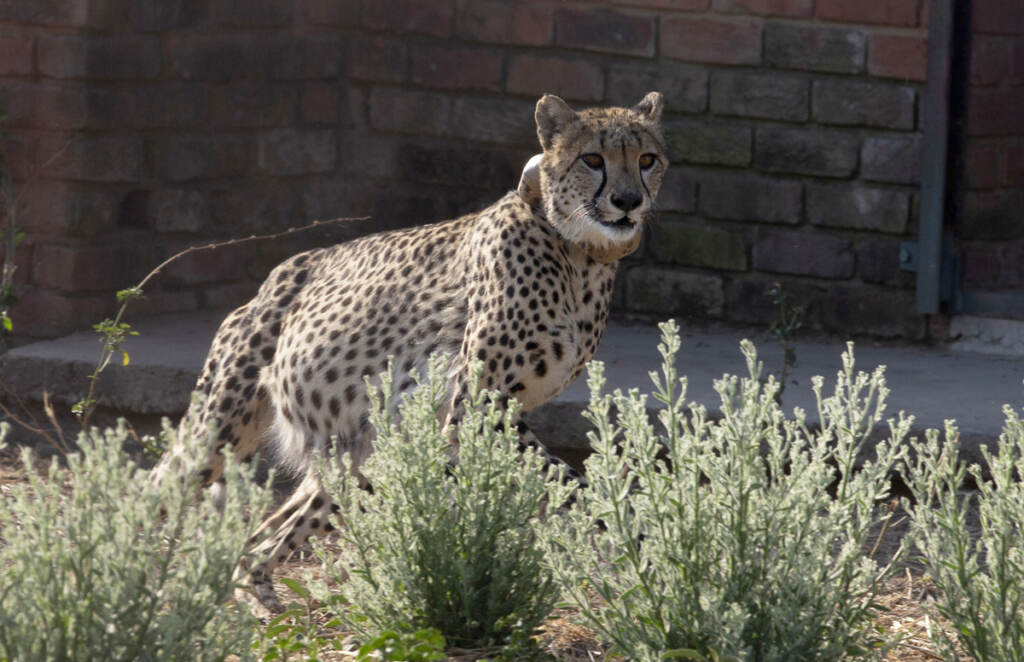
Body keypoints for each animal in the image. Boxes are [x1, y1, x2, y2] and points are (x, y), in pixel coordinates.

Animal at [153, 91, 667, 612]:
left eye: (647, 159)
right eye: (593, 159)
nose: (628, 201)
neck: (580, 254)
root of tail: (273, 278)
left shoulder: (497, 412)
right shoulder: (477, 409)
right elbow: (567, 479)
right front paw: (636, 537)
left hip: (360, 453)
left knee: (269, 534)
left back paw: (257, 596)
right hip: (215, 432)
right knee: (156, 487)